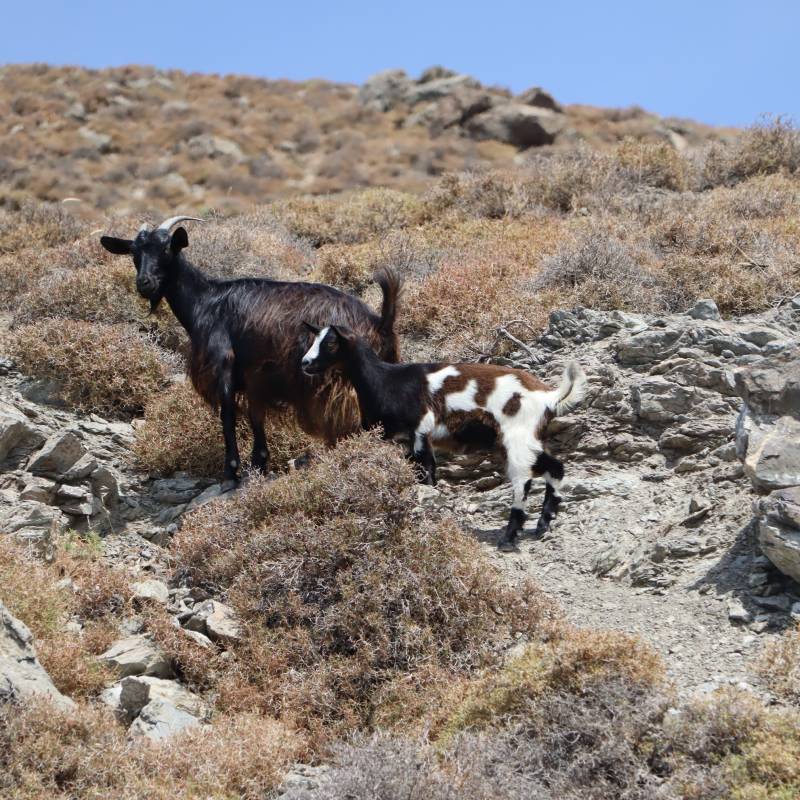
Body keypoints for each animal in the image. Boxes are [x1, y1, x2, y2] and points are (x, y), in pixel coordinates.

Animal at [100, 216, 401, 480]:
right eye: (134, 252)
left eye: (166, 248)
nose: (144, 283)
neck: (206, 301)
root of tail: (379, 322)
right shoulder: (255, 378)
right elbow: (257, 417)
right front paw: (259, 462)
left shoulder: (223, 364)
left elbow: (228, 414)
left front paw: (231, 469)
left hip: (339, 383)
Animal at [301, 324, 589, 550]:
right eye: (314, 338)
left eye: (330, 342)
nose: (305, 363)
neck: (386, 380)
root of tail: (549, 396)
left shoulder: (419, 429)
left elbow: (425, 471)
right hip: (526, 440)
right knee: (555, 467)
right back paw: (543, 524)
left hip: (517, 438)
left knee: (523, 482)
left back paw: (509, 537)